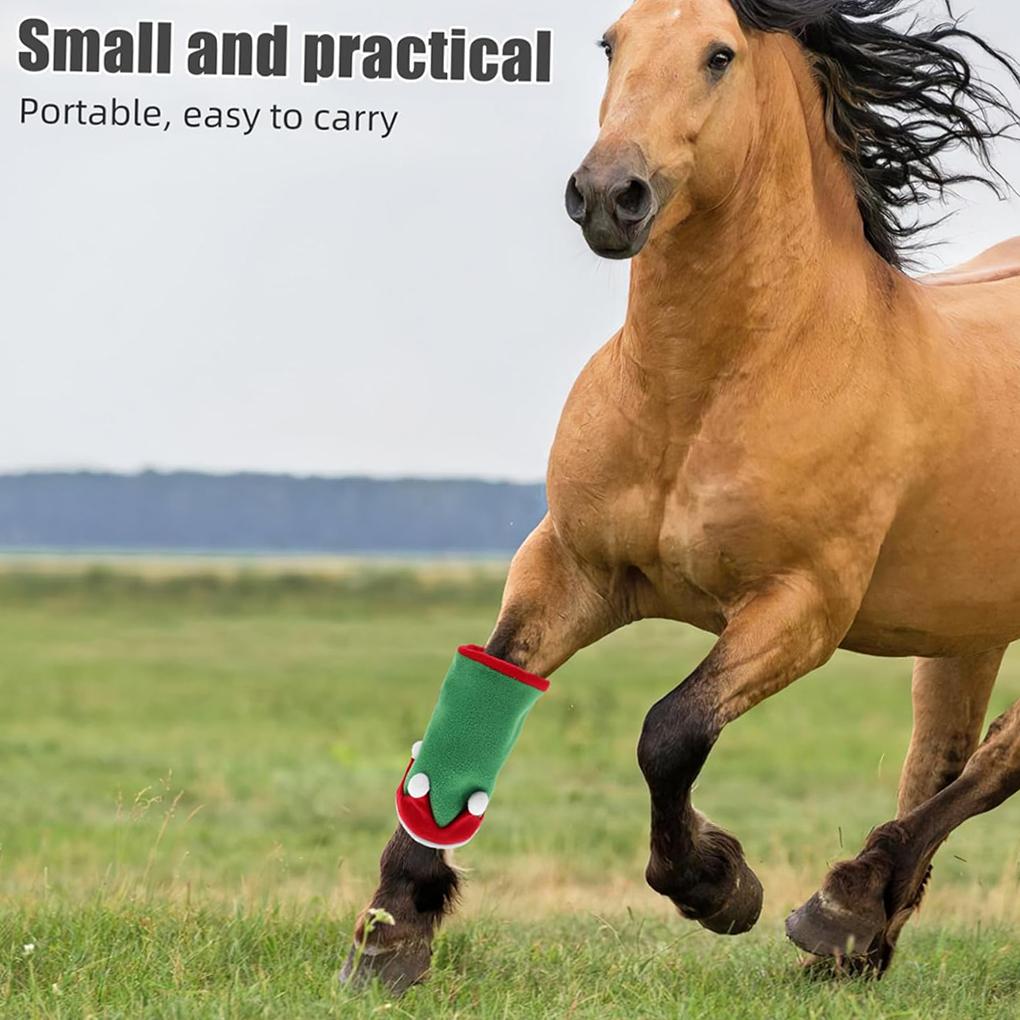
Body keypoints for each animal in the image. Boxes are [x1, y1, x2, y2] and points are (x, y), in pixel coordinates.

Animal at [345, 0, 1020, 988]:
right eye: (610, 43)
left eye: (719, 55)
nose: (606, 194)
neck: (702, 390)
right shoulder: (568, 567)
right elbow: (475, 697)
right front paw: (393, 930)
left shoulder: (801, 606)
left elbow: (670, 732)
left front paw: (719, 886)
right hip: (964, 628)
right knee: (943, 755)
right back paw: (860, 939)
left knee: (998, 758)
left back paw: (840, 906)